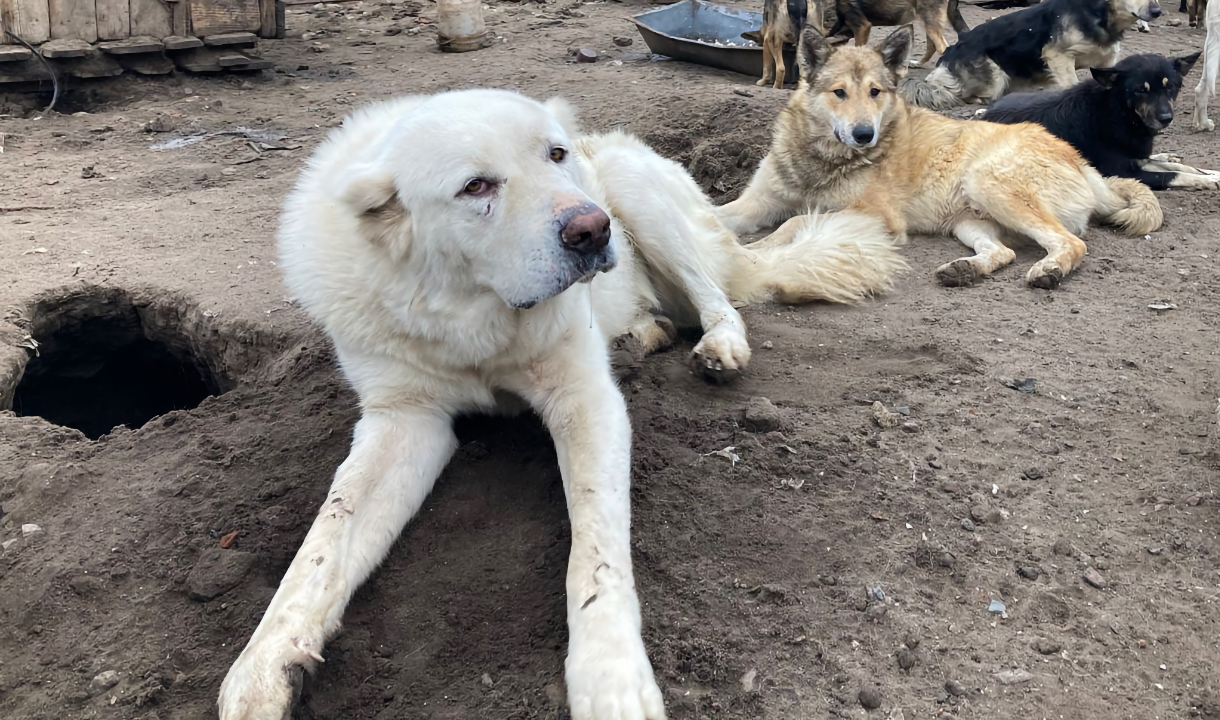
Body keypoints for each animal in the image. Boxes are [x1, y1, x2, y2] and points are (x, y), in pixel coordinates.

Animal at [217, 90, 907, 720]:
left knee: (720, 298)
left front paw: (611, 680)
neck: (475, 315)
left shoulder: (584, 400)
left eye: (555, 155)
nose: (592, 229)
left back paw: (718, 347)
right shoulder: (405, 421)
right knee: (667, 314)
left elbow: (594, 557)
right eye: (475, 186)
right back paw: (637, 337)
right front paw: (260, 669)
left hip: (639, 195)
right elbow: (322, 541)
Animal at [907, 0, 1161, 109]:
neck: (1097, 13)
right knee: (949, 91)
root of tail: (956, 46)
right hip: (994, 77)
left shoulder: (1106, 61)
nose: (1158, 11)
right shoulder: (1058, 56)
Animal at [980, 52, 1220, 190]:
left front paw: (1212, 173)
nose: (1166, 119)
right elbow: (1172, 175)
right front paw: (1208, 181)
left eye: (1169, 87)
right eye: (1141, 90)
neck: (1118, 115)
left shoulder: (1135, 158)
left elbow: (1182, 167)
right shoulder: (1123, 171)